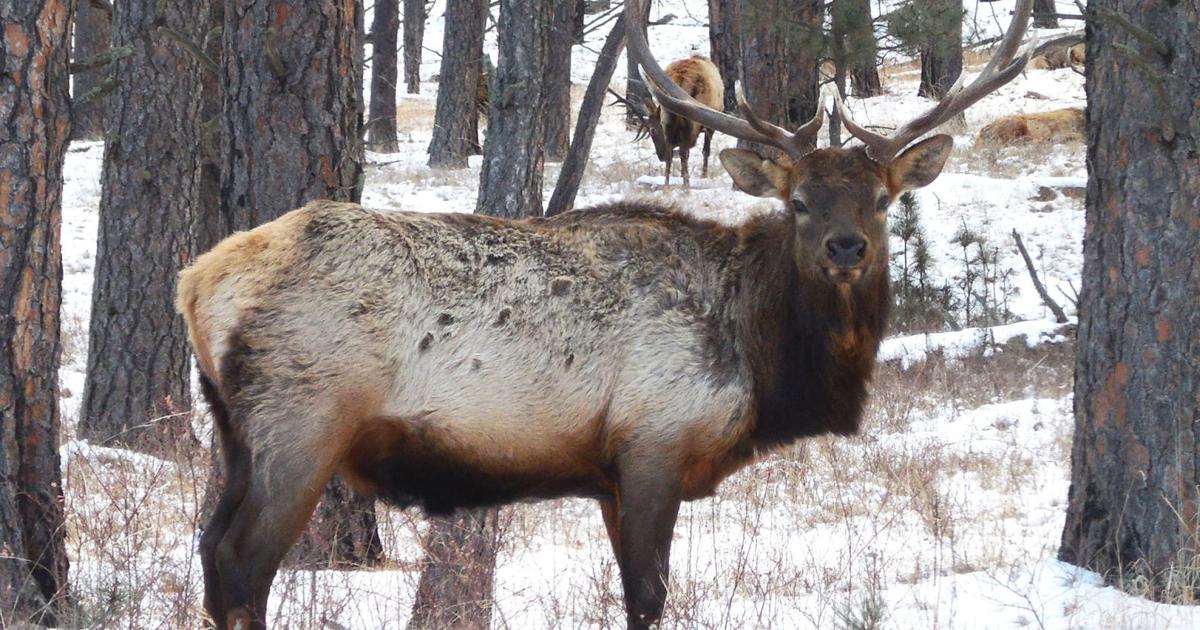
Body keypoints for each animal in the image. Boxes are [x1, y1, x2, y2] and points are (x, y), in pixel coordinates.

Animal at [614, 54, 724, 189]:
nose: (660, 156)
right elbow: (705, 151)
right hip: (691, 121)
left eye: (652, 130)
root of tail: (681, 79)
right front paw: (703, 175)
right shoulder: (710, 124)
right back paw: (686, 186)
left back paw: (667, 186)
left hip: (668, 119)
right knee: (683, 151)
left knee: (670, 153)